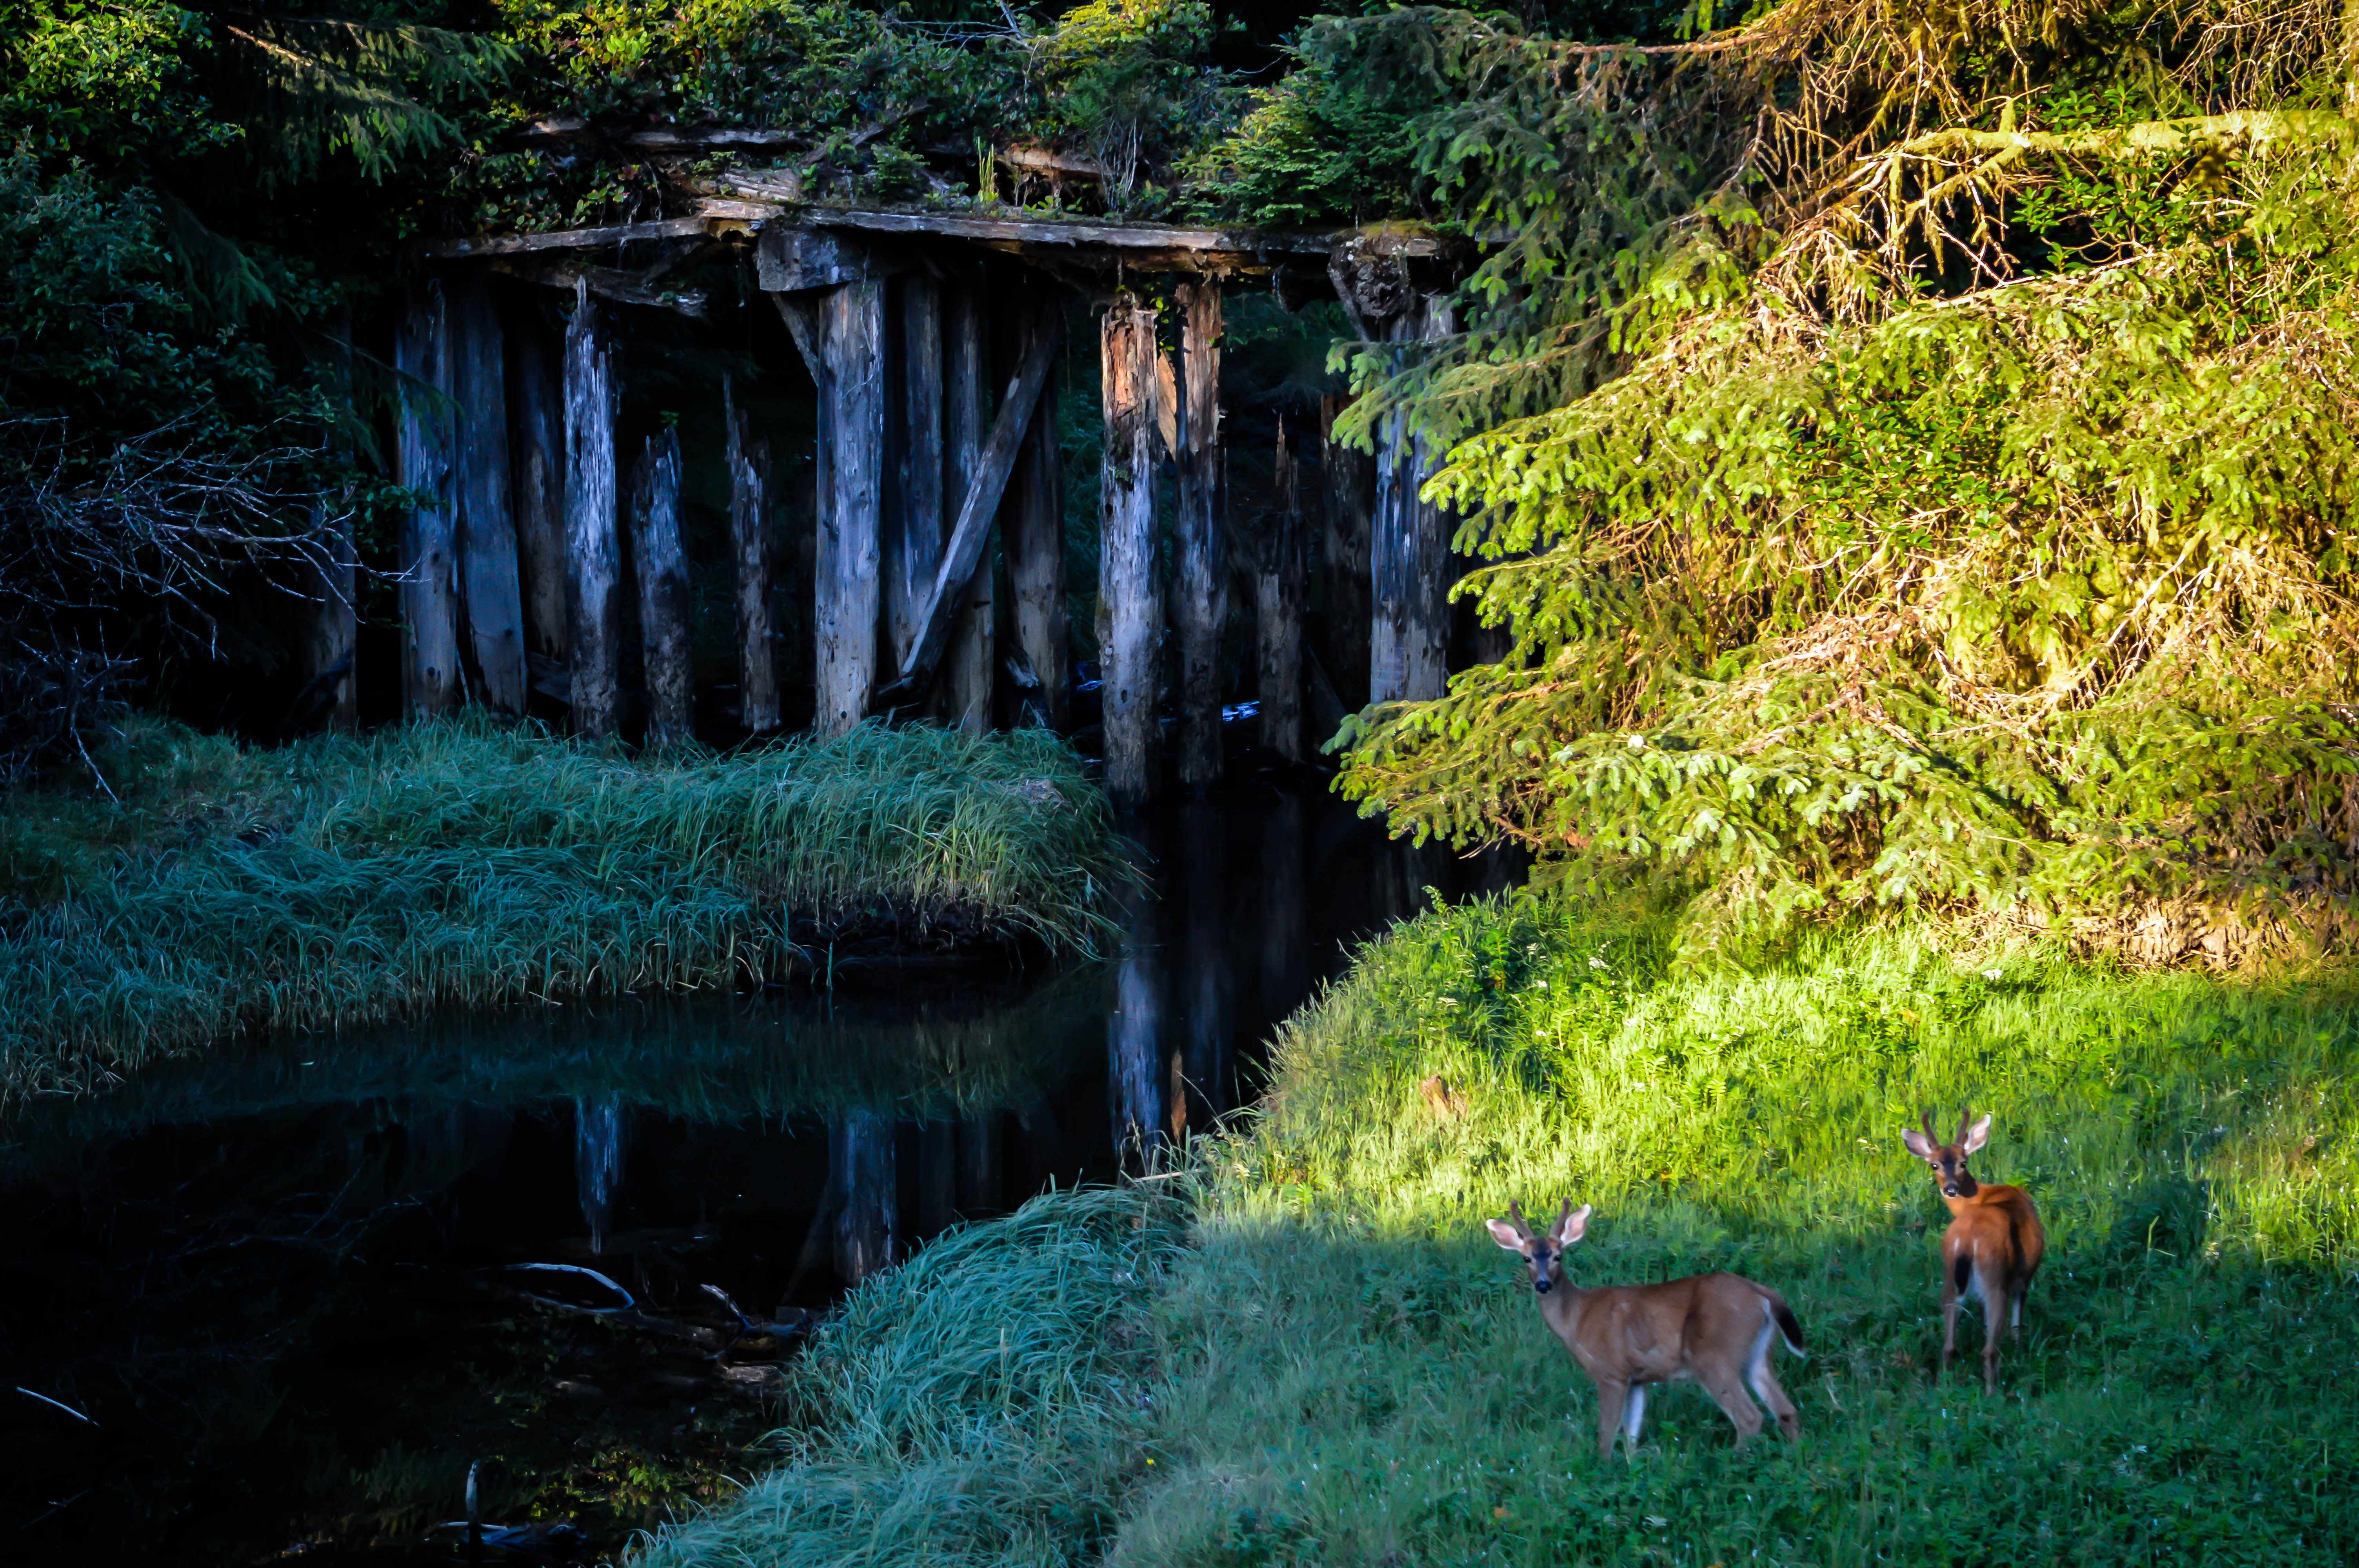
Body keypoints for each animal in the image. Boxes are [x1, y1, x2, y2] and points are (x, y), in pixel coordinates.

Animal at [1486, 1198, 1807, 1458]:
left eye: (1558, 1256)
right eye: (1526, 1258)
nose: (1543, 1285)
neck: (1578, 1319)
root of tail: (1762, 1294)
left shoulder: (1611, 1371)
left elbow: (1606, 1437)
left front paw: (1604, 1470)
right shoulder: (1637, 1378)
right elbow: (1631, 1436)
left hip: (1715, 1355)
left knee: (1750, 1418)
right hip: (1758, 1354)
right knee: (1787, 1410)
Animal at [1901, 1109, 2045, 1394]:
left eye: (1963, 1163)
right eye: (1934, 1165)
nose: (1951, 1189)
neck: (1985, 1195)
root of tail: (1968, 1240)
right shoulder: (2024, 1276)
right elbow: (2017, 1325)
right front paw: (2019, 1353)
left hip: (1949, 1278)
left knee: (1949, 1346)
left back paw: (1944, 1389)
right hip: (1995, 1276)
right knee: (1989, 1350)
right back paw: (1993, 1394)